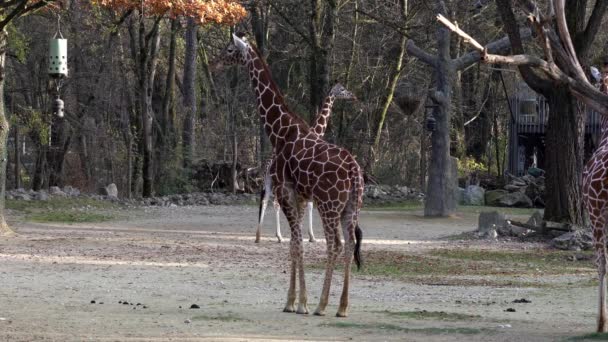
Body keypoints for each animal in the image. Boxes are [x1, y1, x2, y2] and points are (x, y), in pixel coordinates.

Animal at [216, 33, 364, 316]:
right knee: (350, 243)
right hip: (351, 206)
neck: (280, 131)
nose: (215, 63)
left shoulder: (286, 192)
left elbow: (297, 244)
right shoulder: (299, 196)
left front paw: (300, 302)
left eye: (229, 49)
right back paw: (342, 307)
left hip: (329, 205)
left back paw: (322, 305)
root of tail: (354, 171)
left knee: (336, 244)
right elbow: (295, 245)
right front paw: (293, 301)